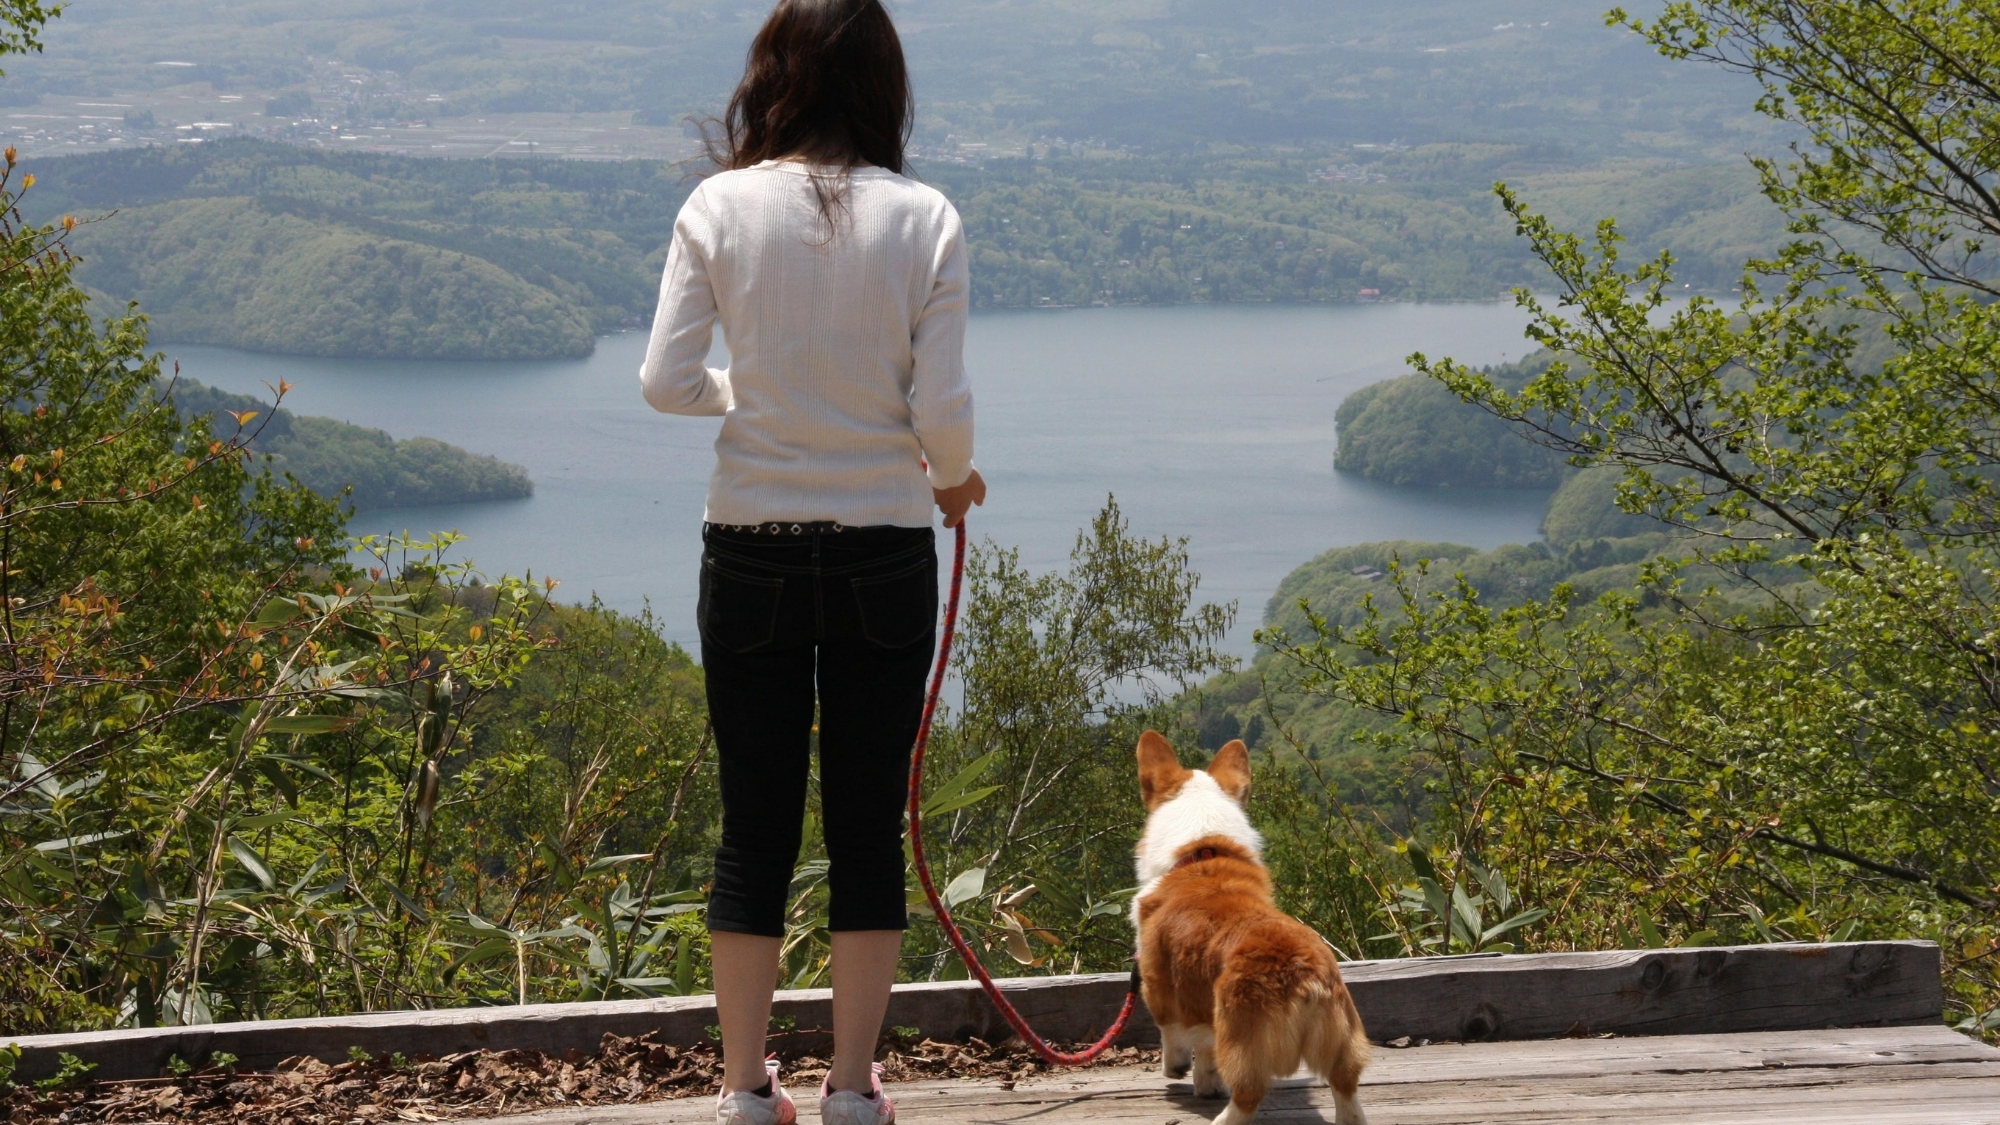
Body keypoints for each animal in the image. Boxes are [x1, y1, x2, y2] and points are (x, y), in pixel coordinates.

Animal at [1136, 728, 1368, 1120]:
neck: (1202, 849)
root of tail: (1304, 976)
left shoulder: (1157, 984)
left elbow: (1172, 1035)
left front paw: (1176, 1069)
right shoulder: (1202, 1002)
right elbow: (1205, 1050)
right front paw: (1205, 1084)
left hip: (1242, 1042)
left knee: (1247, 1096)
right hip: (1341, 1041)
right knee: (1346, 1089)